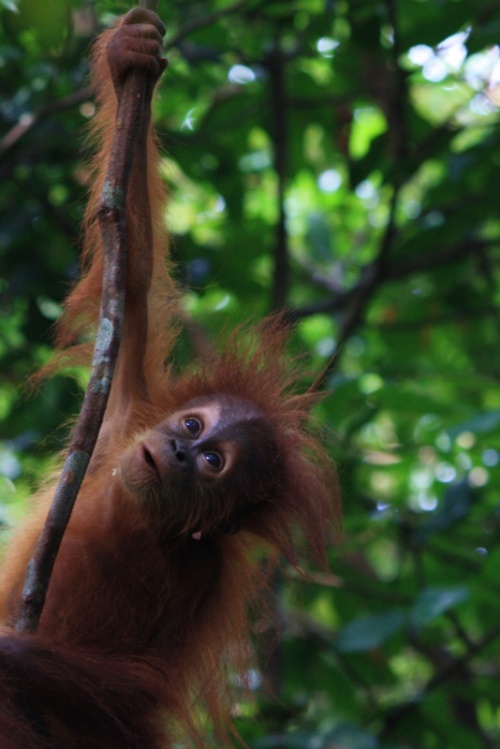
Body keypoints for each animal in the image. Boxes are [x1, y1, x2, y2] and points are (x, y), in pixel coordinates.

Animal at [0, 8, 338, 749]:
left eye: (213, 461)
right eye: (190, 423)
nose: (180, 449)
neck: (135, 516)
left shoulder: (203, 576)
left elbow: (135, 694)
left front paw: (8, 654)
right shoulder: (124, 420)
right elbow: (130, 283)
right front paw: (131, 55)